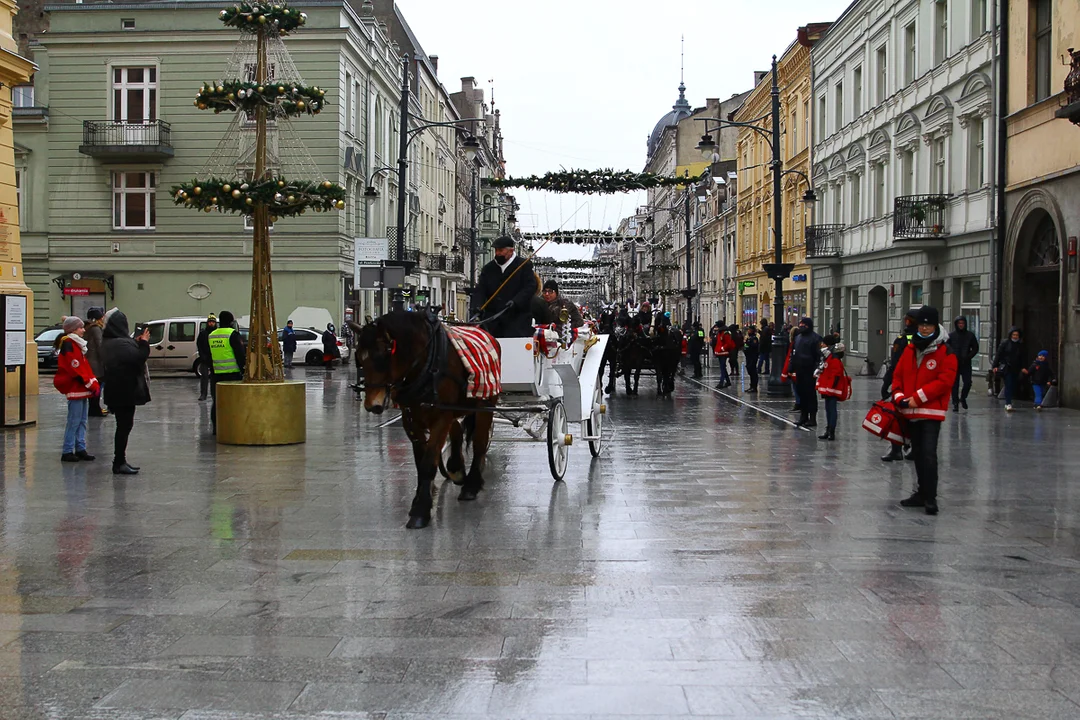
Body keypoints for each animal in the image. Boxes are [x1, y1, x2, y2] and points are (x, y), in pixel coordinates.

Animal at [347, 310, 494, 528]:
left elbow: (428, 462)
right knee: (458, 432)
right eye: (359, 358)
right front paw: (418, 500)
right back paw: (456, 468)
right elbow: (419, 461)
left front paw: (420, 511)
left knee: (479, 443)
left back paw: (471, 485)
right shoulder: (411, 419)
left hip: (485, 404)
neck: (425, 364)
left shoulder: (441, 417)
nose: (372, 404)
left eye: (382, 356)